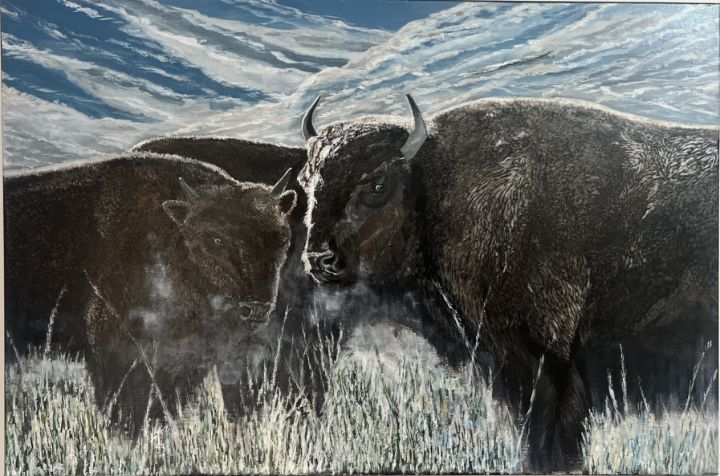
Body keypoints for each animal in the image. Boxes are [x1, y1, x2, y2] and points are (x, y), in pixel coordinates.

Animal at [4, 153, 297, 432]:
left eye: (282, 237)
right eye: (215, 239)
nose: (256, 308)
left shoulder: (188, 361)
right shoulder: (116, 352)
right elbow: (126, 414)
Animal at [298, 95, 718, 471]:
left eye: (377, 184)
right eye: (307, 181)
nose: (318, 258)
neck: (436, 184)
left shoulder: (547, 353)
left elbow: (554, 420)